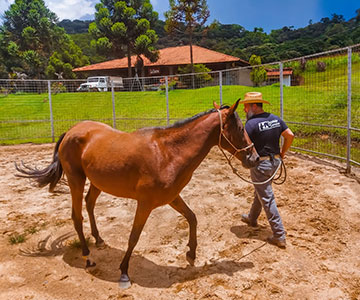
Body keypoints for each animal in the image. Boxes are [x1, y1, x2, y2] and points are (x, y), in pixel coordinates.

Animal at [16, 99, 258, 288]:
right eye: (239, 128)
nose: (254, 157)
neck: (168, 153)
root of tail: (71, 131)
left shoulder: (172, 197)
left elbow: (192, 217)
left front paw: (191, 254)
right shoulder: (145, 203)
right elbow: (134, 236)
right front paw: (124, 272)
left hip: (97, 183)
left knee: (89, 203)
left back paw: (99, 239)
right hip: (77, 181)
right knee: (77, 216)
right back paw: (87, 256)